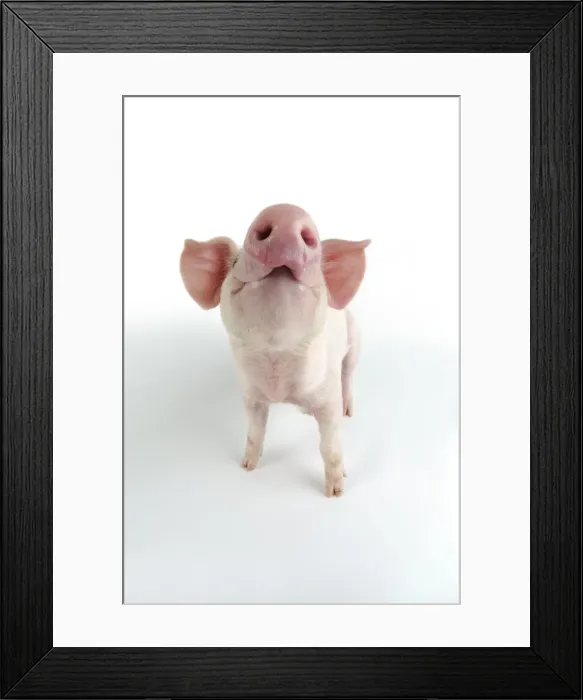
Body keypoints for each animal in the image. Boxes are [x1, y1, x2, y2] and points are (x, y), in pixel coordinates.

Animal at [180, 204, 370, 497]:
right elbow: (255, 431)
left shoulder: (327, 398)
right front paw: (247, 466)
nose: (285, 211)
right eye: (234, 263)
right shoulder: (251, 396)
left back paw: (349, 410)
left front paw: (335, 493)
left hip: (355, 340)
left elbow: (330, 446)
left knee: (347, 374)